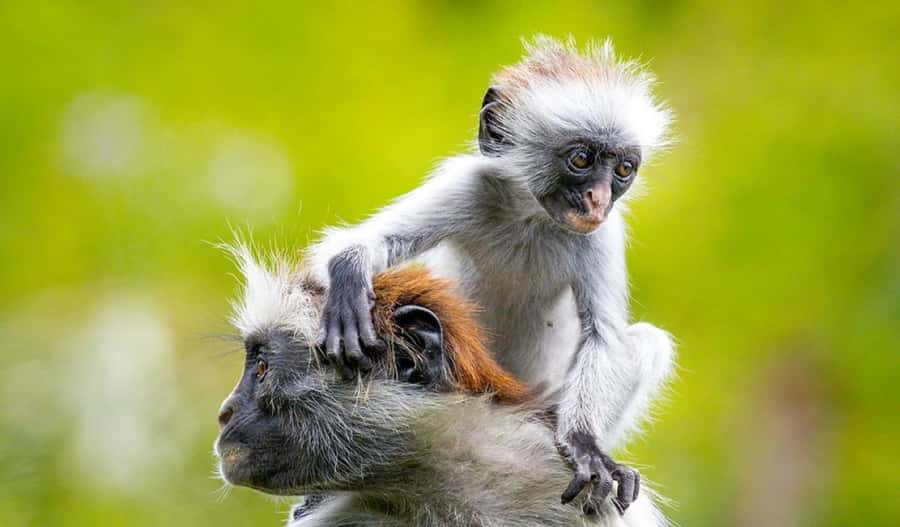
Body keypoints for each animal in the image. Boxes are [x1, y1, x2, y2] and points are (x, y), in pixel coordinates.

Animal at [307, 36, 676, 509]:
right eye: (581, 159)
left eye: (623, 170)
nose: (598, 198)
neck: (530, 217)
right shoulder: (471, 184)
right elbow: (347, 248)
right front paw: (350, 271)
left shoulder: (602, 232)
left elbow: (604, 336)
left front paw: (585, 445)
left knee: (647, 342)